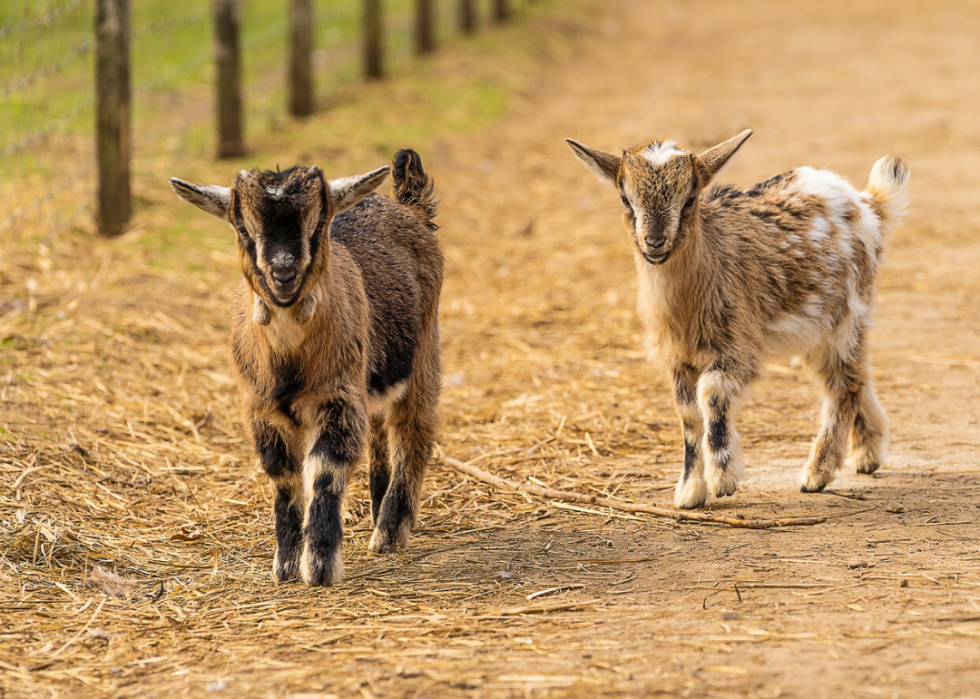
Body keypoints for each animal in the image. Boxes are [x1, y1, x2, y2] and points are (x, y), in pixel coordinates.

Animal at [170, 149, 442, 584]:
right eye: (243, 228)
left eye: (319, 224)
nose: (283, 274)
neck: (289, 358)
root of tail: (406, 206)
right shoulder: (262, 409)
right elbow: (283, 477)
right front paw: (284, 565)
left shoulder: (337, 398)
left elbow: (324, 473)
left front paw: (319, 566)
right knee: (379, 429)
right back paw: (377, 507)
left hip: (424, 356)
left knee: (413, 432)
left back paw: (388, 532)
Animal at [568, 130, 912, 508]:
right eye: (625, 199)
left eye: (690, 199)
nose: (654, 242)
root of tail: (868, 204)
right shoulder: (677, 360)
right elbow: (687, 417)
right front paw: (689, 491)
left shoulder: (739, 348)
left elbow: (711, 394)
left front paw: (723, 479)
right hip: (822, 329)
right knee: (855, 376)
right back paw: (867, 452)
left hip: (844, 317)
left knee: (843, 385)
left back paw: (816, 473)